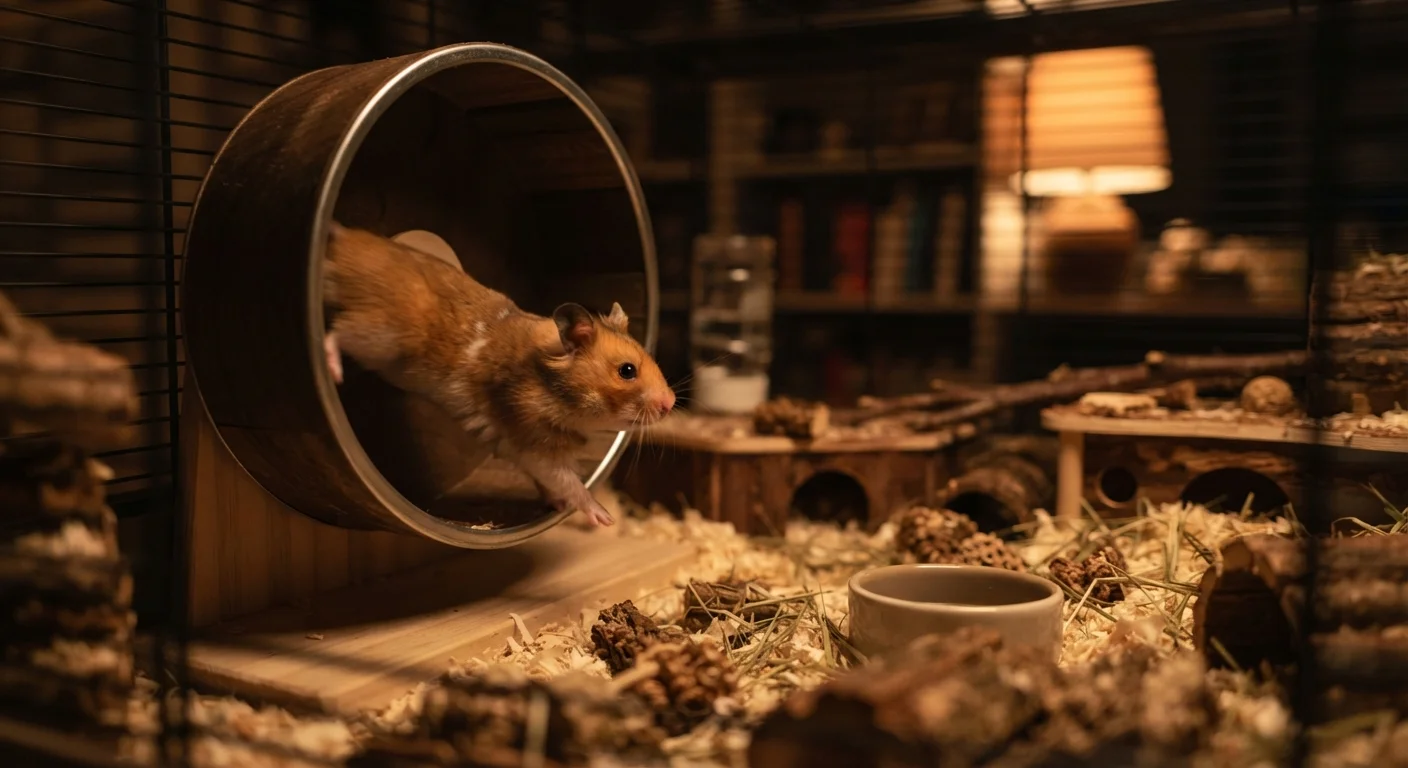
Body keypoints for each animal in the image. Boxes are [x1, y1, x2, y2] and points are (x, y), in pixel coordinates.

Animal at [320, 222, 675, 527]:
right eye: (627, 371)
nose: (671, 404)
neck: (555, 390)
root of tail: (343, 241)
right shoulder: (531, 443)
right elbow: (568, 482)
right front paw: (604, 518)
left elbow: (550, 485)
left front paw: (558, 506)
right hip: (380, 336)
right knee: (337, 331)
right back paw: (331, 369)